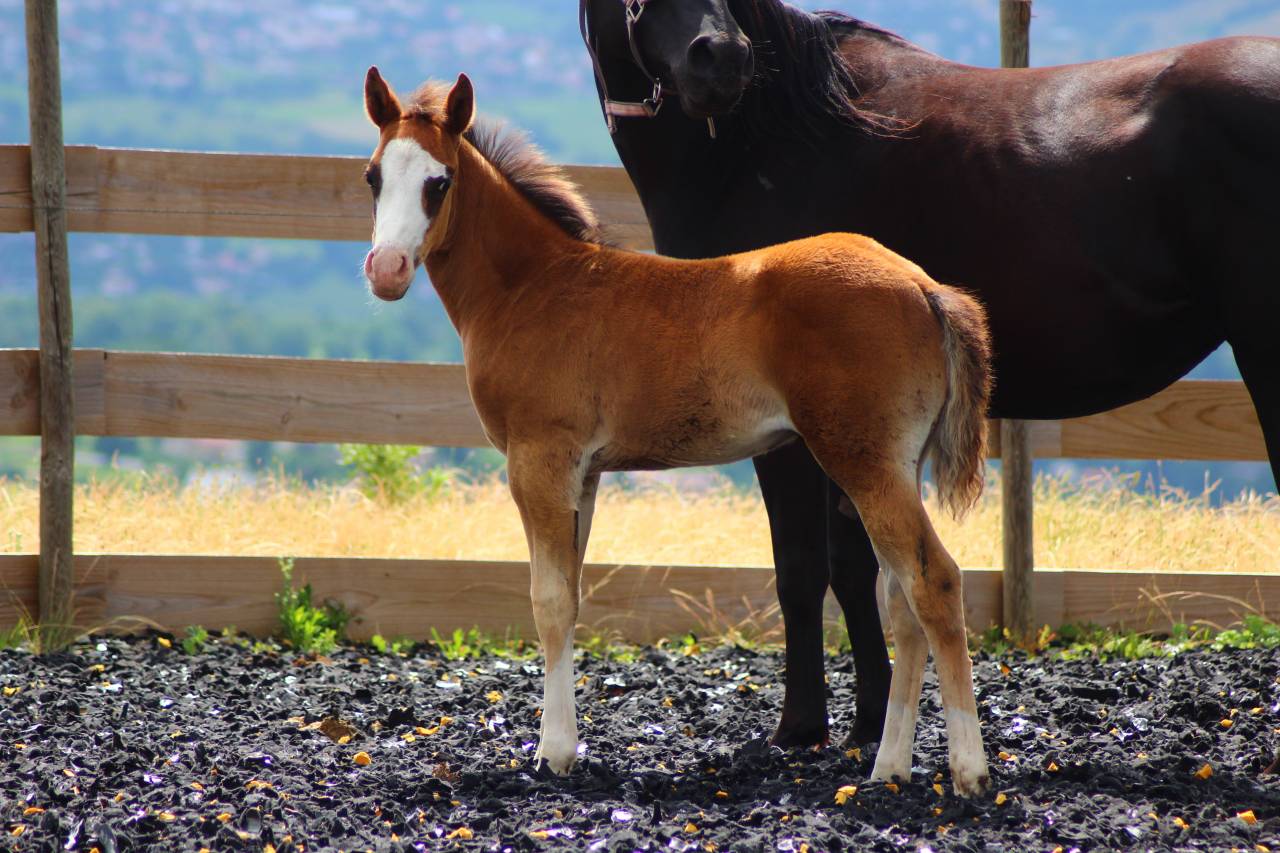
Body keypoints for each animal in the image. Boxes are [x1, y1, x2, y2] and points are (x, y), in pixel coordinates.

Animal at [359, 67, 994, 795]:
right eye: (374, 175)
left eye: (439, 182)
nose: (386, 269)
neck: (531, 289)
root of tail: (924, 287)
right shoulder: (585, 473)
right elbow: (572, 595)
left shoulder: (540, 460)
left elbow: (549, 601)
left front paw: (553, 752)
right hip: (892, 463)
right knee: (901, 599)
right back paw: (888, 766)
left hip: (861, 459)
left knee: (933, 583)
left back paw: (969, 769)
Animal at [580, 0, 1280, 752]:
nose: (722, 59)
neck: (765, 144)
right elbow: (856, 564)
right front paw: (870, 716)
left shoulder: (790, 429)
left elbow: (801, 566)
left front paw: (800, 725)